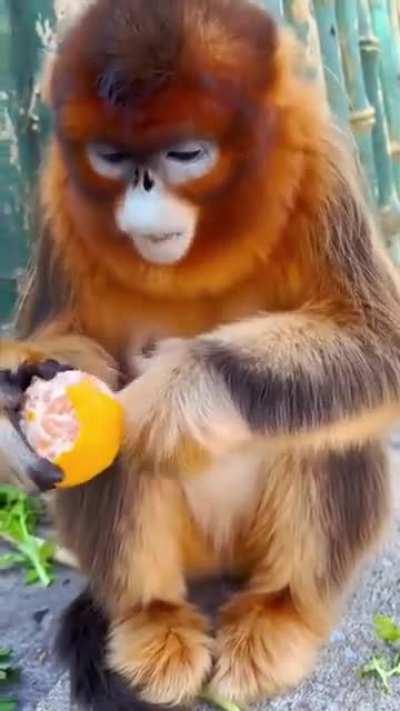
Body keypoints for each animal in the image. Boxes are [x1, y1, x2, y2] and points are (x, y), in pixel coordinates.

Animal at [1, 0, 400, 706]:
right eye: (111, 156)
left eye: (184, 154)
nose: (143, 185)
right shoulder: (56, 197)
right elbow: (75, 347)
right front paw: (15, 390)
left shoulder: (321, 163)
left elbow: (380, 344)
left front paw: (182, 389)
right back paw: (154, 623)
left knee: (322, 425)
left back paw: (278, 613)